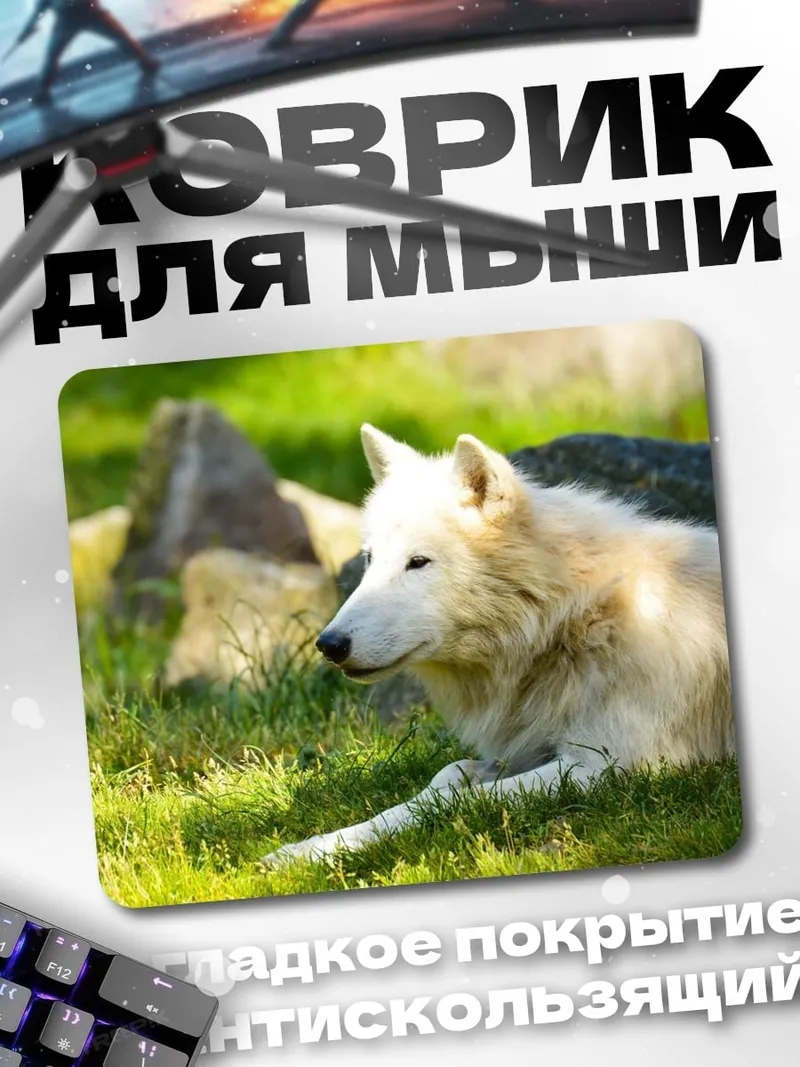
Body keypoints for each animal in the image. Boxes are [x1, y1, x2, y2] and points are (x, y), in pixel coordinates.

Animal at [261, 425, 733, 866]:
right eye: (370, 560)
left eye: (418, 562)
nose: (329, 644)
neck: (576, 620)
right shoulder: (525, 750)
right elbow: (443, 780)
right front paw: (310, 847)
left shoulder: (607, 765)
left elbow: (455, 801)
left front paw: (316, 851)